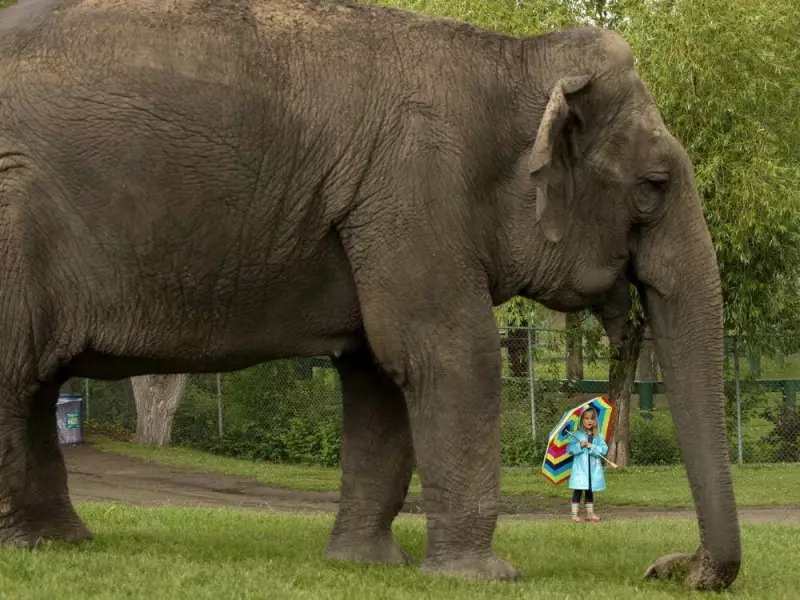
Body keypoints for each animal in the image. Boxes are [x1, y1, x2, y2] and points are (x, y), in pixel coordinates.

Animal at [0, 0, 740, 591]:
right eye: (653, 185)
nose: (668, 568)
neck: (513, 58)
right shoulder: (415, 185)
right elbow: (448, 355)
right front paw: (485, 578)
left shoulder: (382, 209)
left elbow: (378, 373)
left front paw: (364, 565)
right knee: (17, 372)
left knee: (34, 380)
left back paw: (58, 542)